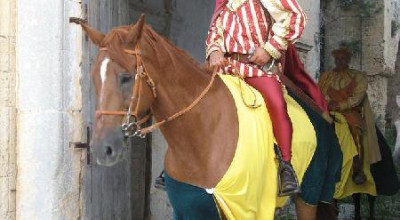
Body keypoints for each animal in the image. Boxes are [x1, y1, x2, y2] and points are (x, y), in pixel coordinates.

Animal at [71, 15, 332, 220]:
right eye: (94, 76)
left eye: (126, 77)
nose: (101, 148)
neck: (202, 135)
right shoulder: (191, 206)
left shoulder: (246, 209)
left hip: (309, 196)